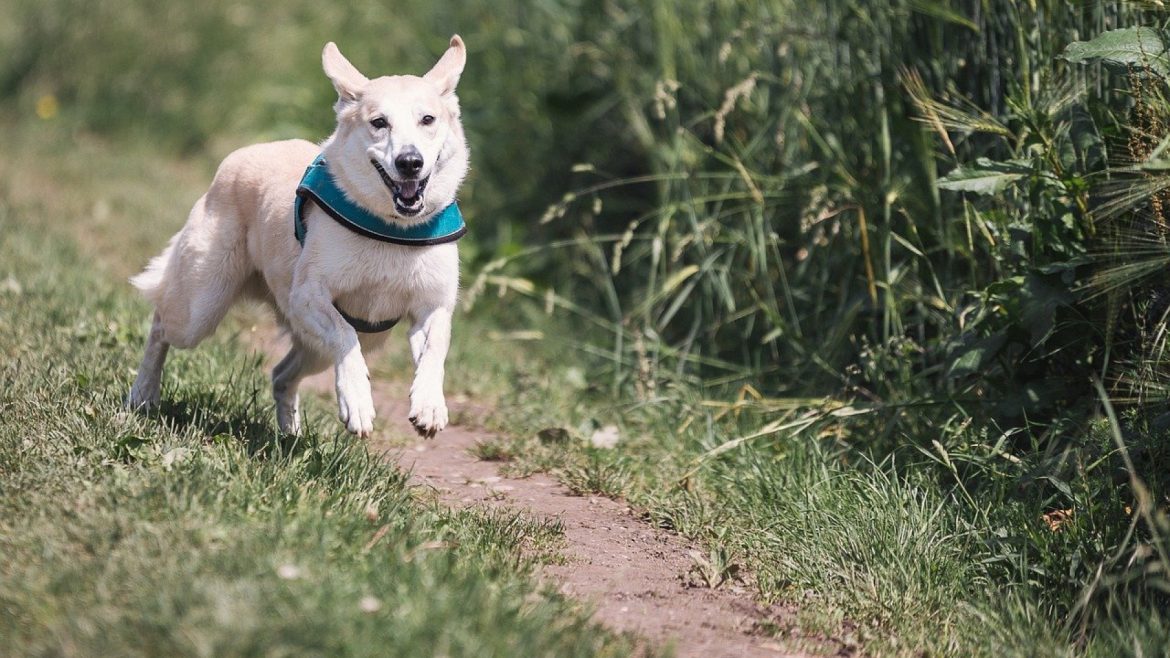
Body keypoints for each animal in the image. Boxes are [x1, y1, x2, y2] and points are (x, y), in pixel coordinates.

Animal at [128, 35, 470, 435]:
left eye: (427, 119)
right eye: (379, 122)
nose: (410, 162)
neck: (392, 230)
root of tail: (241, 155)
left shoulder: (432, 306)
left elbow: (435, 349)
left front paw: (429, 405)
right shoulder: (307, 296)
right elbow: (344, 335)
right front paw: (357, 401)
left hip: (321, 346)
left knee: (281, 374)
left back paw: (290, 434)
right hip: (200, 307)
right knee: (160, 326)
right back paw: (143, 395)